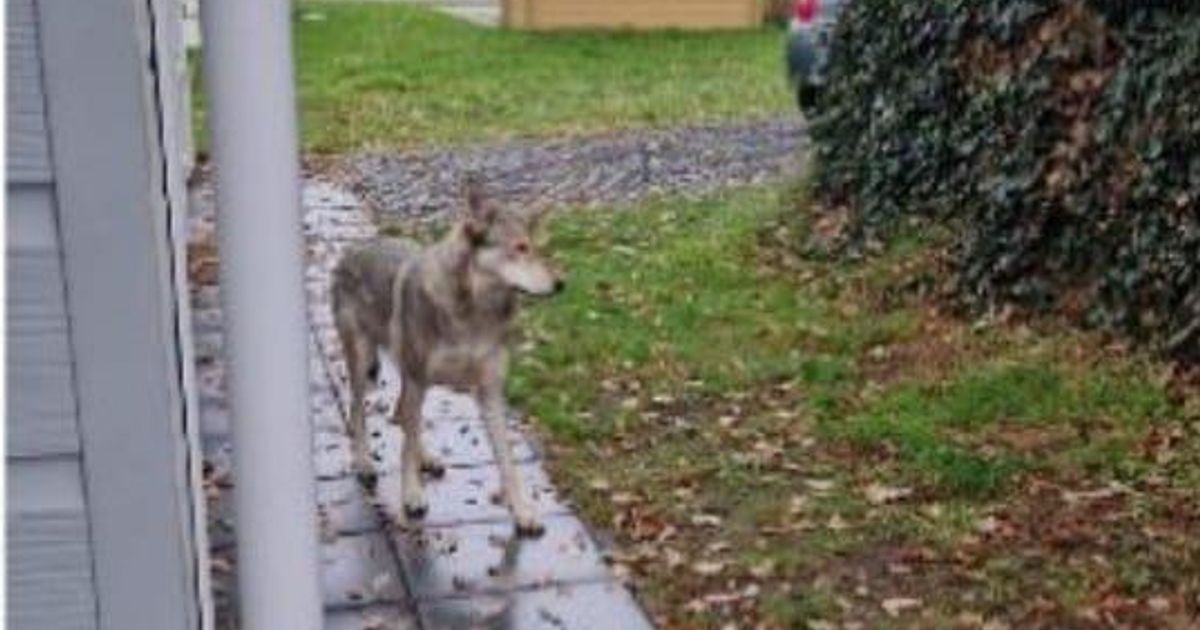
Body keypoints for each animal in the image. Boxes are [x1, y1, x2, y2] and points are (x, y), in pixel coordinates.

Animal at [331, 175, 563, 537]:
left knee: (401, 414)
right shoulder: (418, 378)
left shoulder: (489, 391)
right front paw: (412, 496)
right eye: (520, 248)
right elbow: (404, 448)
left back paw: (427, 458)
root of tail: (352, 249)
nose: (561, 284)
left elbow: (507, 461)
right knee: (359, 413)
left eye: (536, 248)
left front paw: (522, 511)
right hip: (366, 365)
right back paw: (365, 462)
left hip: (409, 377)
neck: (474, 315)